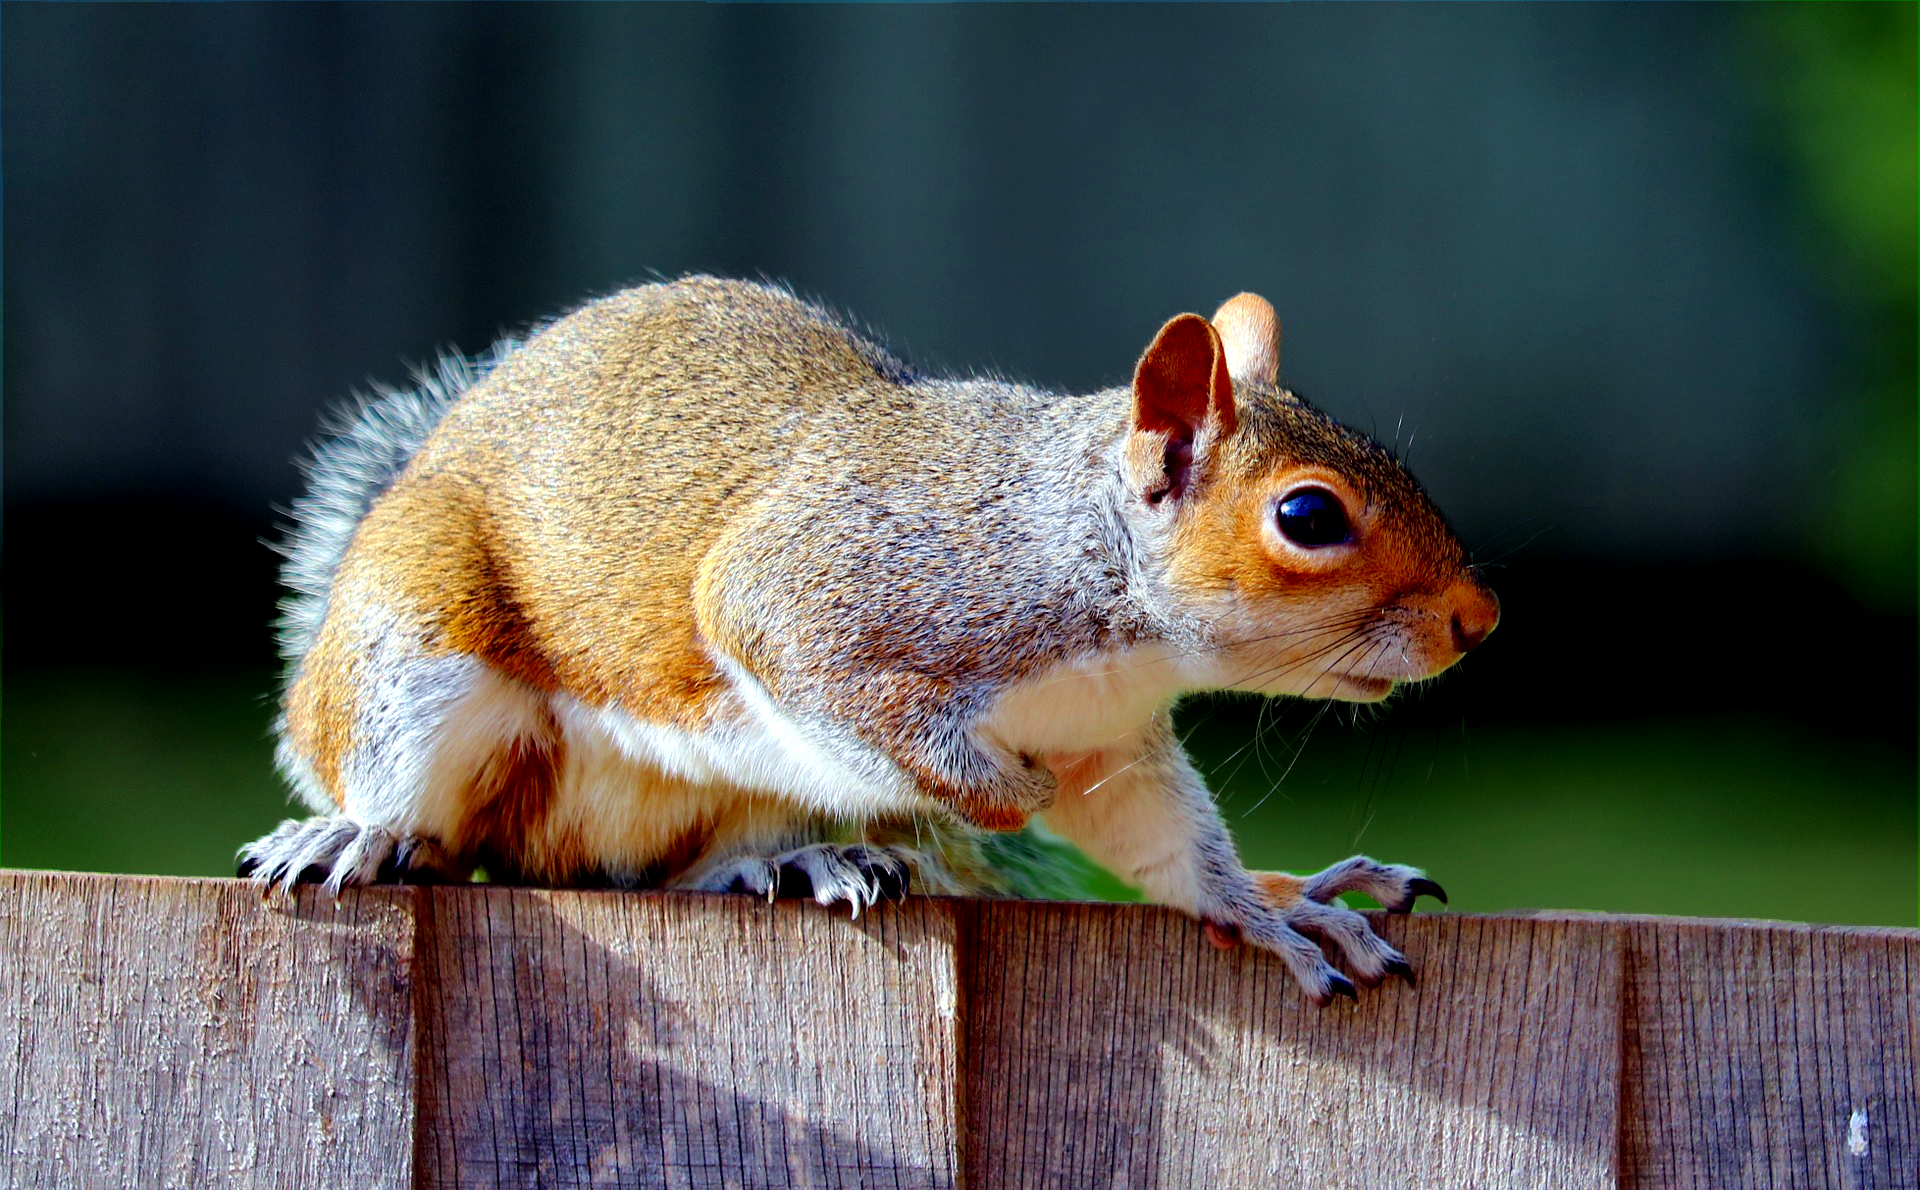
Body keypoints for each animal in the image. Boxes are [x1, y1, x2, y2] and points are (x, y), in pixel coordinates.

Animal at [240, 276, 1498, 1004]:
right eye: (1308, 516)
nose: (1476, 619)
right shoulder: (826, 594)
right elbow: (810, 664)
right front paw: (996, 792)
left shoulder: (1109, 744)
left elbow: (1165, 845)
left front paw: (1271, 907)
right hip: (415, 646)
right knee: (424, 809)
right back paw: (354, 832)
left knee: (654, 871)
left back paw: (796, 858)